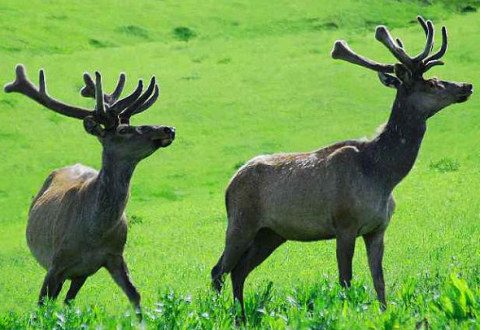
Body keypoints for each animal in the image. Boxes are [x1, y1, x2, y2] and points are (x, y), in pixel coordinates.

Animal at [2, 63, 175, 312]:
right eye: (123, 131)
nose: (167, 129)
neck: (93, 233)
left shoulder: (114, 256)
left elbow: (135, 295)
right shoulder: (55, 264)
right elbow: (41, 307)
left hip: (80, 275)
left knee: (68, 301)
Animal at [211, 16, 472, 320]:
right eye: (432, 83)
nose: (467, 86)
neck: (384, 176)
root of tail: (229, 185)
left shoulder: (377, 229)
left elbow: (379, 281)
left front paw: (385, 314)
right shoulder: (344, 224)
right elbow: (345, 280)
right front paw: (349, 314)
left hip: (271, 234)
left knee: (238, 271)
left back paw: (240, 316)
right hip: (241, 222)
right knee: (218, 270)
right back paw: (218, 314)